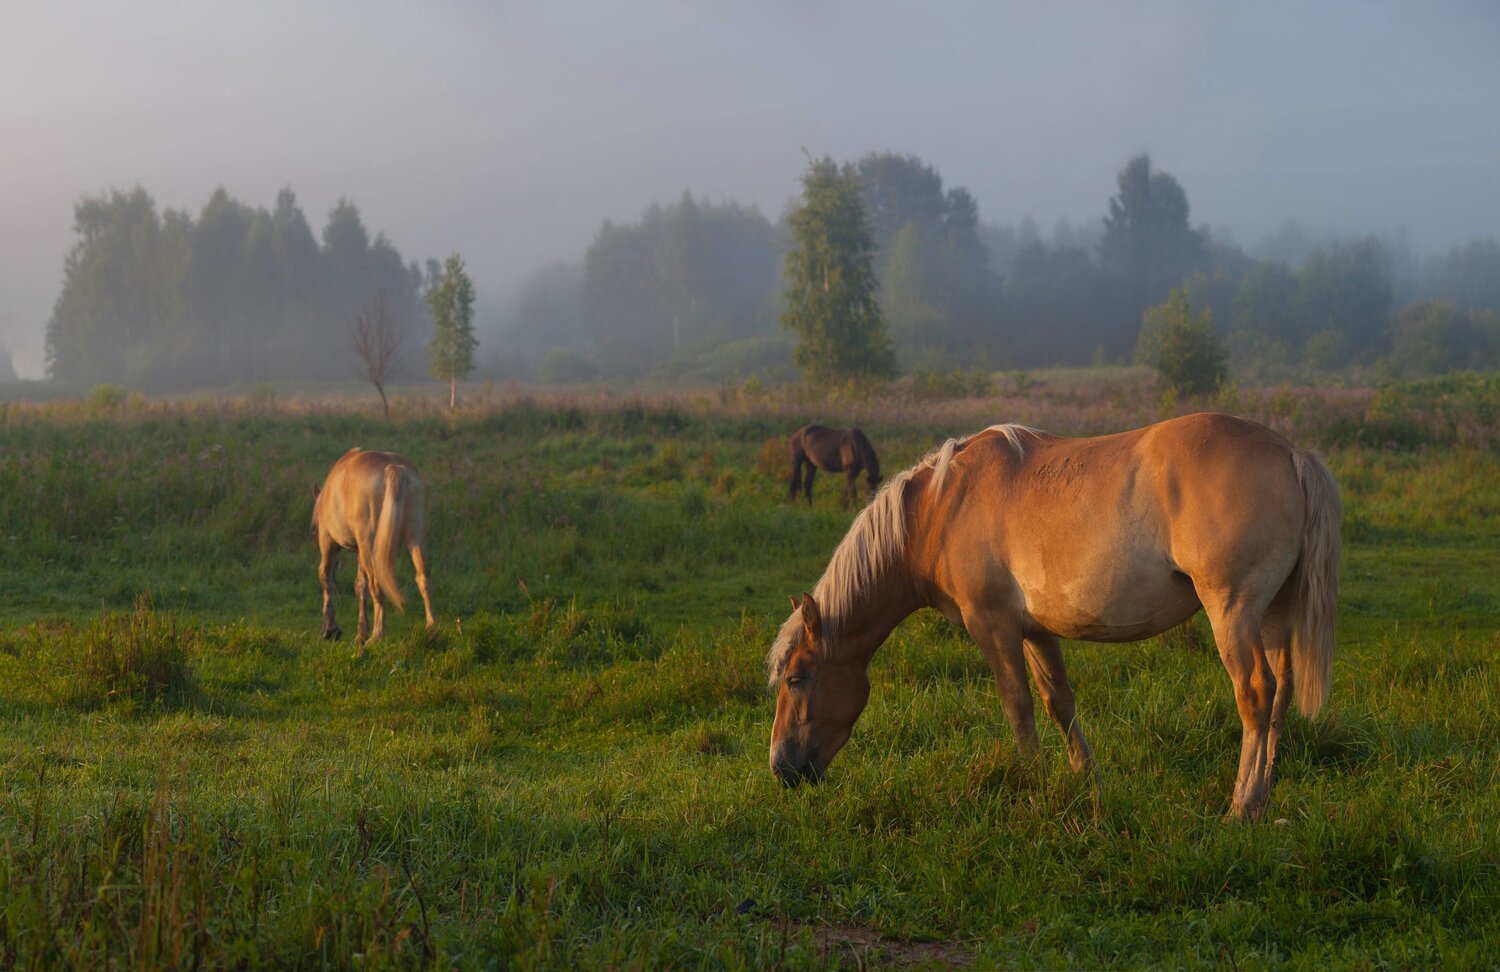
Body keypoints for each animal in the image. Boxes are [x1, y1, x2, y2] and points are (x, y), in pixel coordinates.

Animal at [312, 448, 435, 644]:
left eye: (315, 528)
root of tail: (392, 466)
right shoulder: (361, 551)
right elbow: (360, 586)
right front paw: (361, 632)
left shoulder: (328, 544)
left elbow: (326, 578)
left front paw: (330, 629)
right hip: (413, 537)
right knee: (423, 576)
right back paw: (431, 627)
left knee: (377, 585)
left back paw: (377, 634)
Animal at [765, 413, 1341, 822]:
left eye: (796, 678)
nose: (780, 768)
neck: (941, 507)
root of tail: (1291, 453)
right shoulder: (1038, 631)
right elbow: (1058, 702)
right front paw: (1086, 780)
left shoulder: (993, 628)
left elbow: (1018, 706)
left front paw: (1030, 782)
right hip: (1272, 617)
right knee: (1281, 696)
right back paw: (1265, 795)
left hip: (1233, 613)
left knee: (1255, 695)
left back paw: (1242, 807)